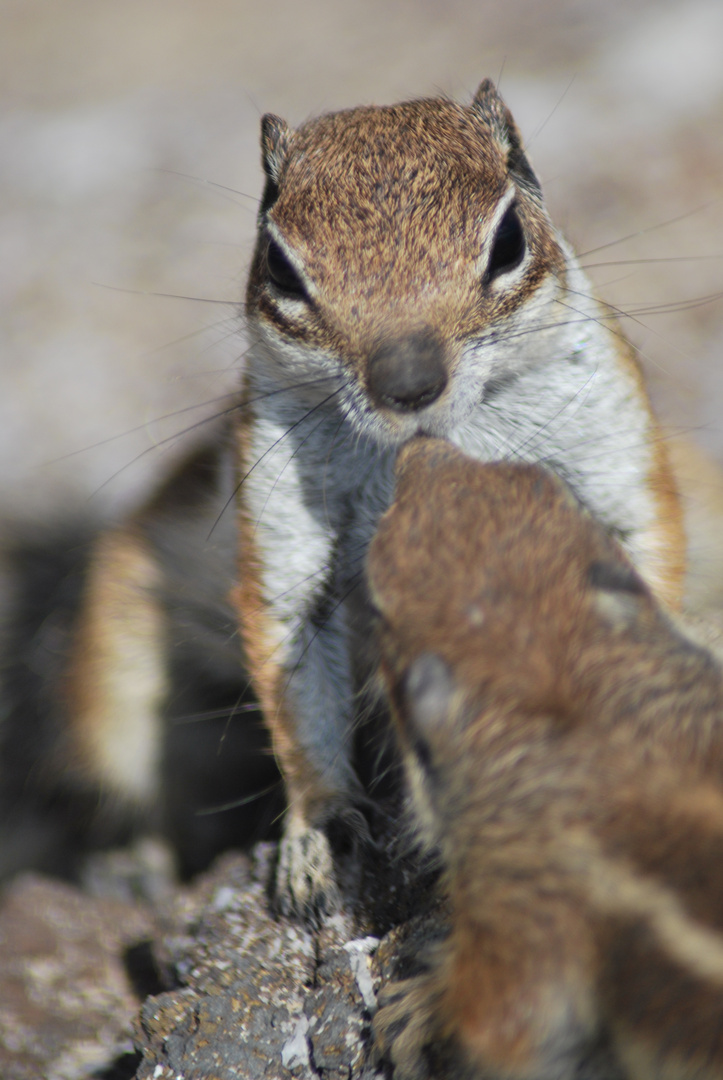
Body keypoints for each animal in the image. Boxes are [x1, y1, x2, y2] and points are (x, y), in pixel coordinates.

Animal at [369, 436, 721, 1080]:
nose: (421, 446)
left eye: (377, 604)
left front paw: (421, 1002)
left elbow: (501, 1015)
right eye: (542, 482)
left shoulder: (515, 885)